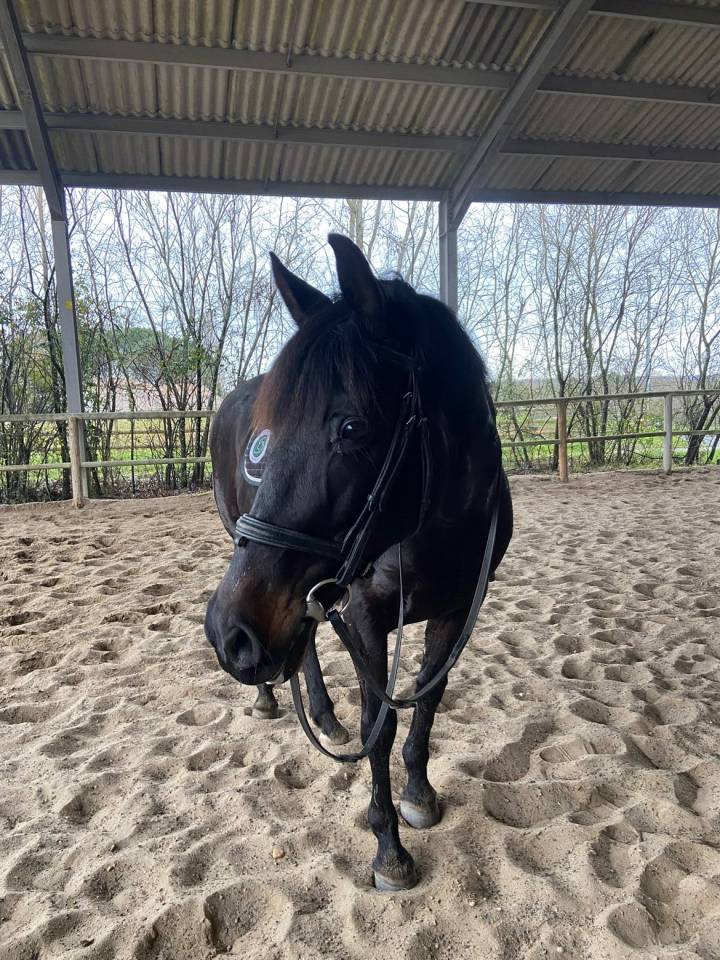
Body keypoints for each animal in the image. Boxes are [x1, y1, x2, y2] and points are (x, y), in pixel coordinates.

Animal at [205, 233, 513, 891]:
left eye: (351, 427)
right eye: (265, 441)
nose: (227, 635)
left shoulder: (458, 610)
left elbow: (427, 699)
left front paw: (419, 794)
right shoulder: (367, 614)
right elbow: (381, 723)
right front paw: (388, 846)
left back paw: (320, 715)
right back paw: (278, 700)